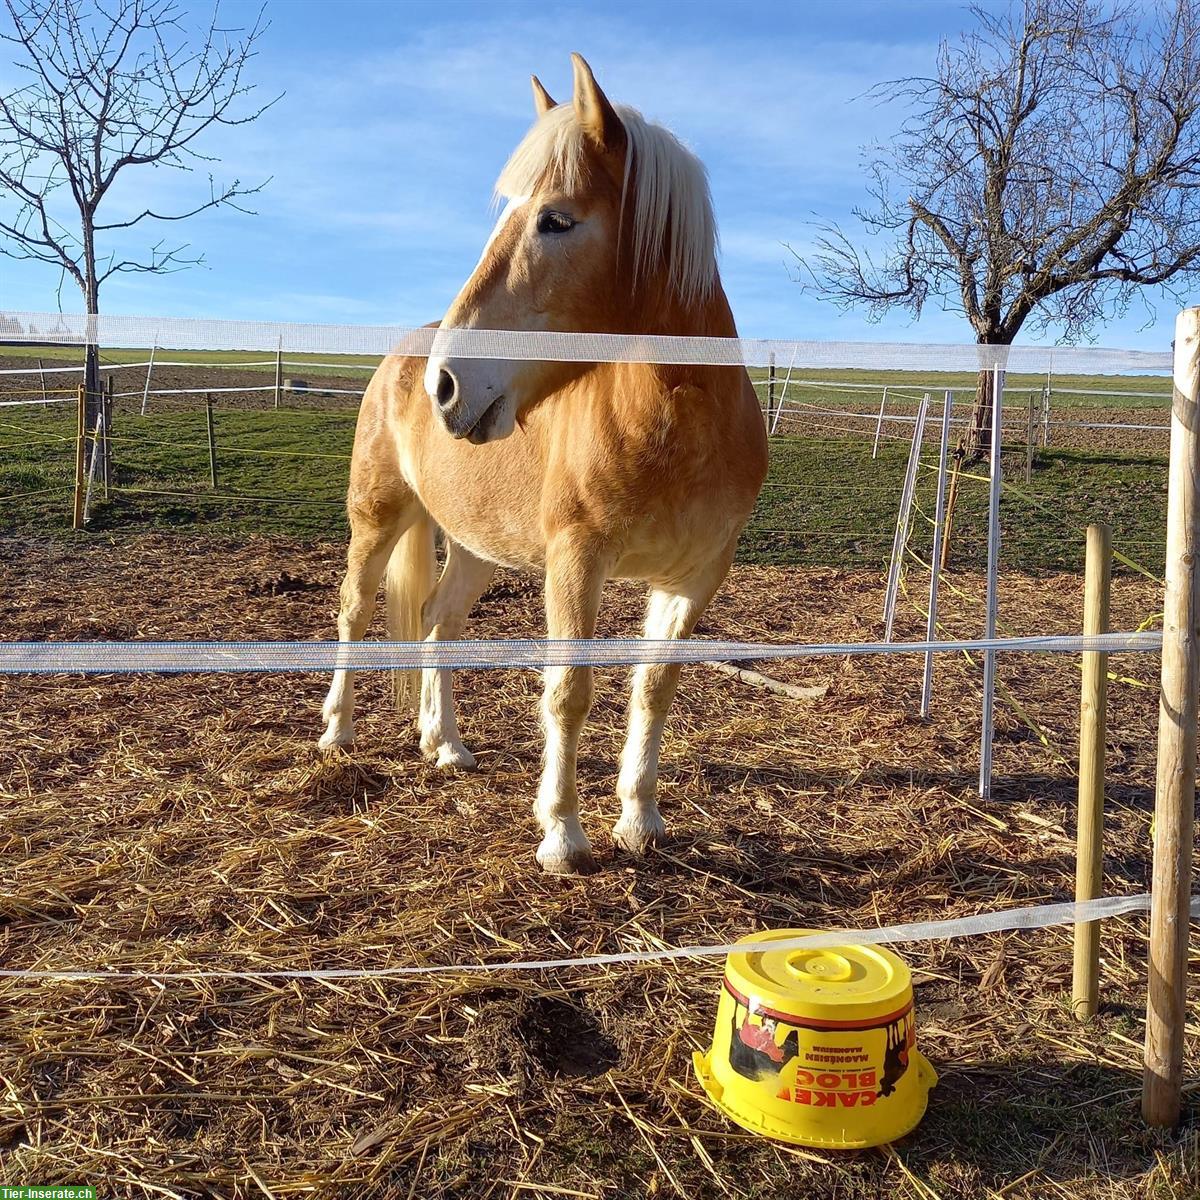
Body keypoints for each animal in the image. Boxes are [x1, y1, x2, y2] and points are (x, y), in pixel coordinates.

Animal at [316, 54, 768, 873]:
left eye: (555, 219)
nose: (445, 387)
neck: (678, 424)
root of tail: (400, 355)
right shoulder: (575, 561)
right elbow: (569, 690)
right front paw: (562, 833)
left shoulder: (693, 577)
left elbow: (655, 688)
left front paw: (640, 819)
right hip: (379, 517)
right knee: (354, 611)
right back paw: (336, 733)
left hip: (474, 545)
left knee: (437, 622)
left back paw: (445, 744)